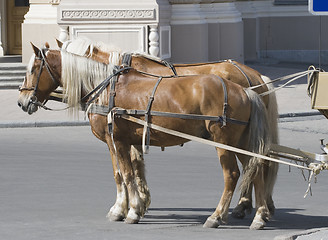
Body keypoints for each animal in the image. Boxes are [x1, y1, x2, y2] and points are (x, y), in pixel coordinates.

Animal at [18, 44, 272, 230]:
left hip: (224, 142)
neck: (105, 87)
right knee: (257, 169)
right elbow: (124, 173)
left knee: (232, 175)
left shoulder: (118, 140)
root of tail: (245, 90)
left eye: (32, 70)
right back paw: (259, 214)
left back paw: (218, 216)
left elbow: (127, 174)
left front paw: (130, 210)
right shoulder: (119, 142)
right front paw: (128, 207)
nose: (22, 101)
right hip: (242, 142)